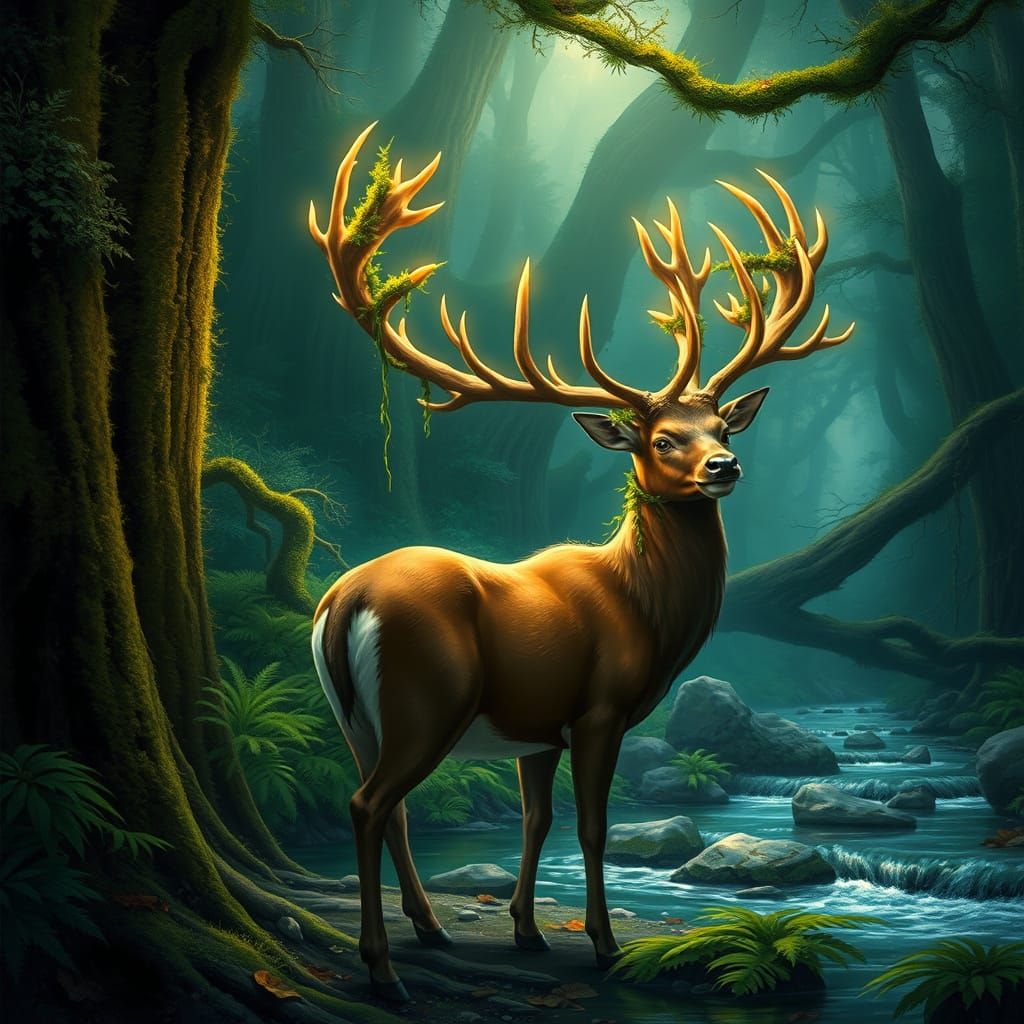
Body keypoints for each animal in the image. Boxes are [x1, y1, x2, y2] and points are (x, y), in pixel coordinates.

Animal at [307, 122, 854, 1002]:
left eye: (720, 428)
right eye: (662, 439)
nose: (724, 467)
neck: (645, 610)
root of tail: (342, 601)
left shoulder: (537, 729)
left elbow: (539, 821)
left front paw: (528, 931)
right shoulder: (599, 708)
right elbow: (593, 827)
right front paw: (600, 945)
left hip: (353, 714)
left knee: (385, 804)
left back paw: (429, 928)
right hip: (428, 697)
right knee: (368, 803)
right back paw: (384, 968)